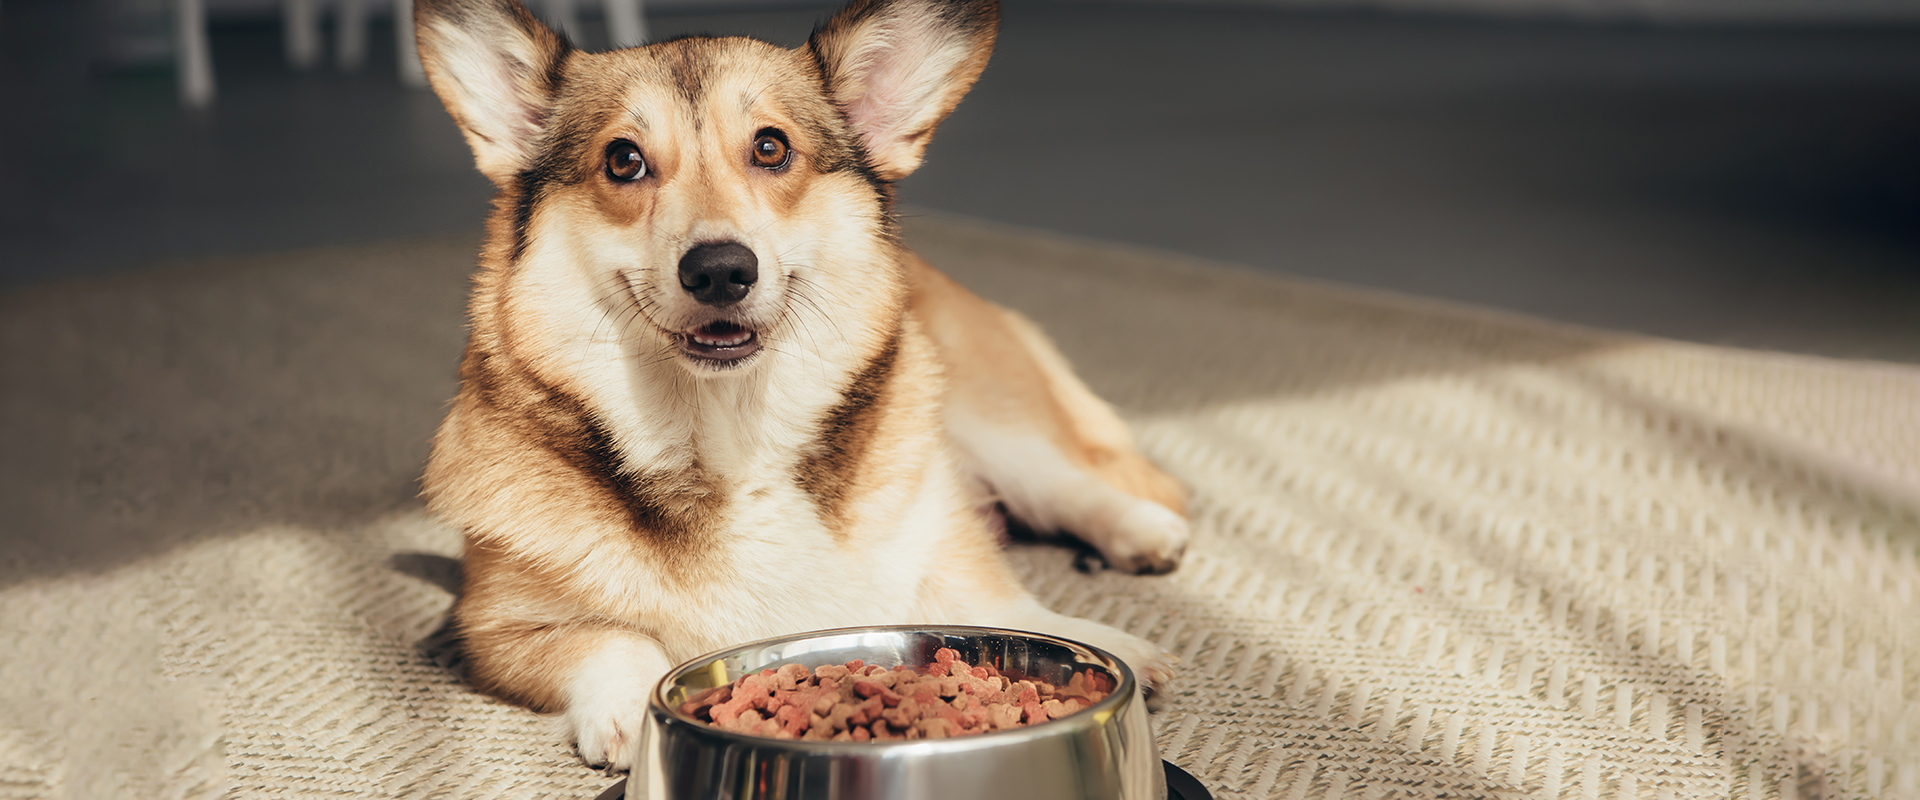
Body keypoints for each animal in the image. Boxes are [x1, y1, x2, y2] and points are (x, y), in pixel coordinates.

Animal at [414, 0, 1190, 767]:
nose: (720, 270)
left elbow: (998, 603)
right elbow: (607, 637)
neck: (730, 437)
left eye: (770, 148)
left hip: (989, 422)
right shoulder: (492, 627)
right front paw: (632, 707)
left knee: (1072, 484)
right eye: (623, 160)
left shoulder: (941, 535)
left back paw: (1144, 532)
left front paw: (1093, 641)